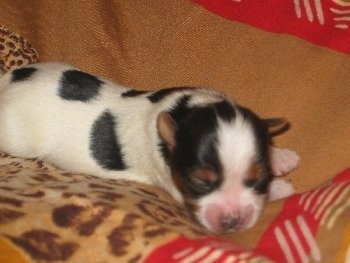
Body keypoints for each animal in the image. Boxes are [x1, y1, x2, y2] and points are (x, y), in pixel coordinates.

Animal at [0, 62, 300, 235]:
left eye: (258, 178)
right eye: (198, 182)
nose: (232, 221)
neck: (185, 110)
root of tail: (7, 82)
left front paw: (281, 159)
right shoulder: (173, 185)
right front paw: (282, 187)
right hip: (14, 136)